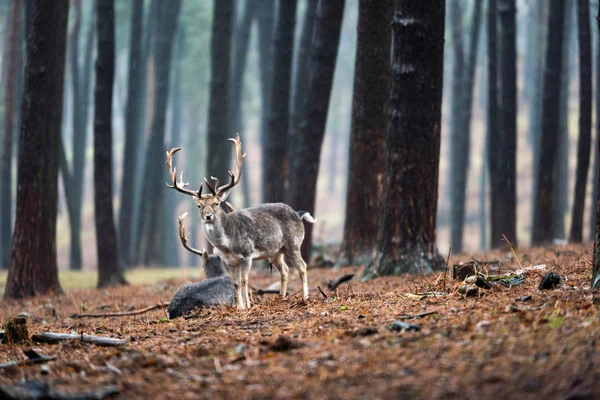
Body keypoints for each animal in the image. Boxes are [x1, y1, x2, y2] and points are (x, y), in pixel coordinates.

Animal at [164, 134, 314, 310]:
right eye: (199, 205)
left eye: (216, 203)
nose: (208, 216)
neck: (227, 244)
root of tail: (298, 214)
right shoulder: (231, 261)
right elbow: (235, 283)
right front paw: (239, 307)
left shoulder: (247, 254)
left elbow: (244, 281)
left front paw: (248, 306)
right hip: (276, 251)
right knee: (284, 269)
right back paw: (282, 297)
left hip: (294, 244)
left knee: (303, 267)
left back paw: (305, 297)